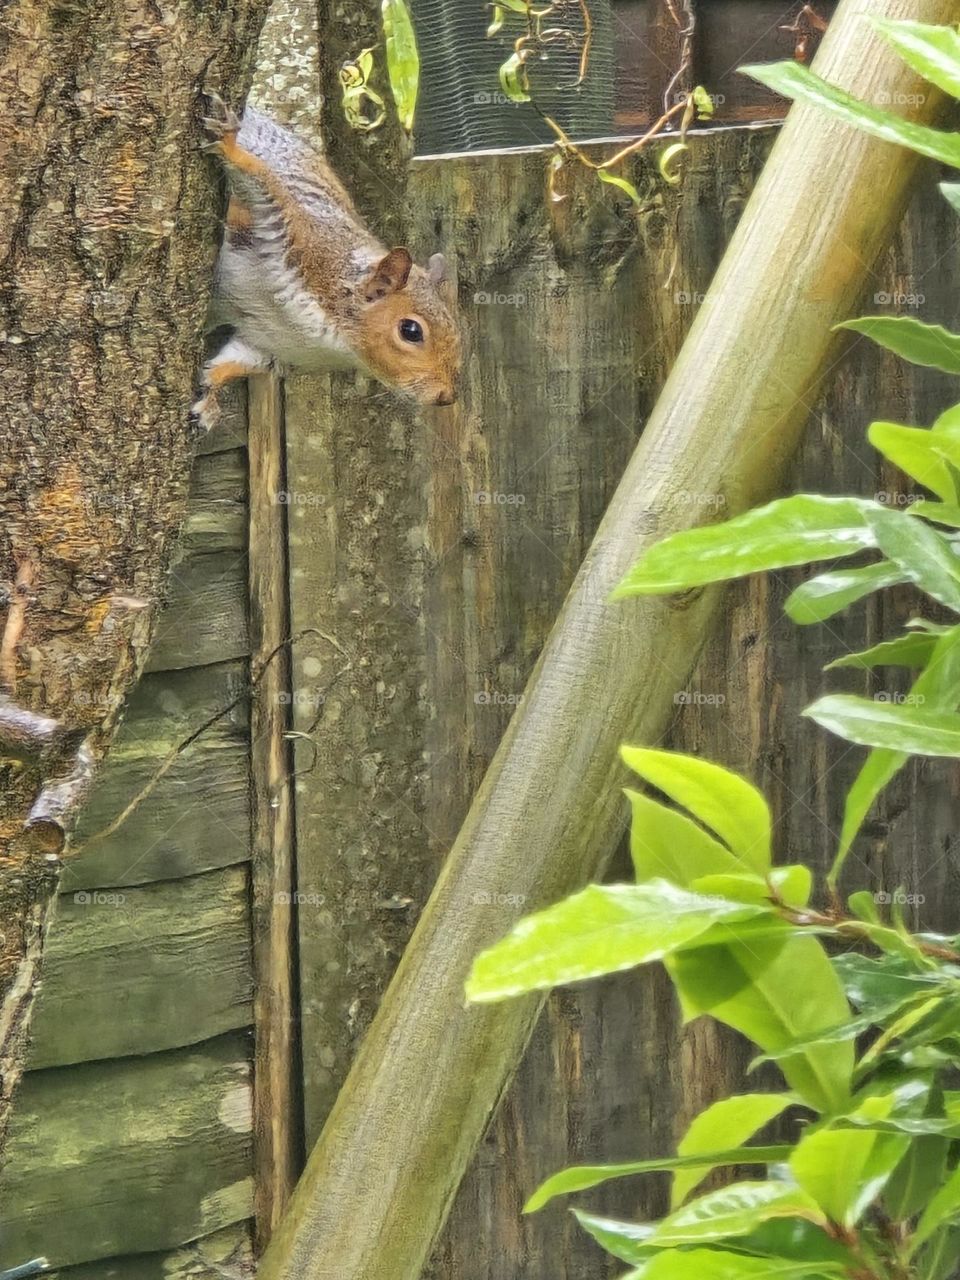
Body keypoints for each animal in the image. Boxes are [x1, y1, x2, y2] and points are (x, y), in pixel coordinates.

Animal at [194, 97, 461, 425]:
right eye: (410, 331)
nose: (446, 397)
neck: (335, 339)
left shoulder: (267, 342)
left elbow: (234, 361)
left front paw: (211, 394)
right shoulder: (304, 242)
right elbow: (266, 186)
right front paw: (230, 146)